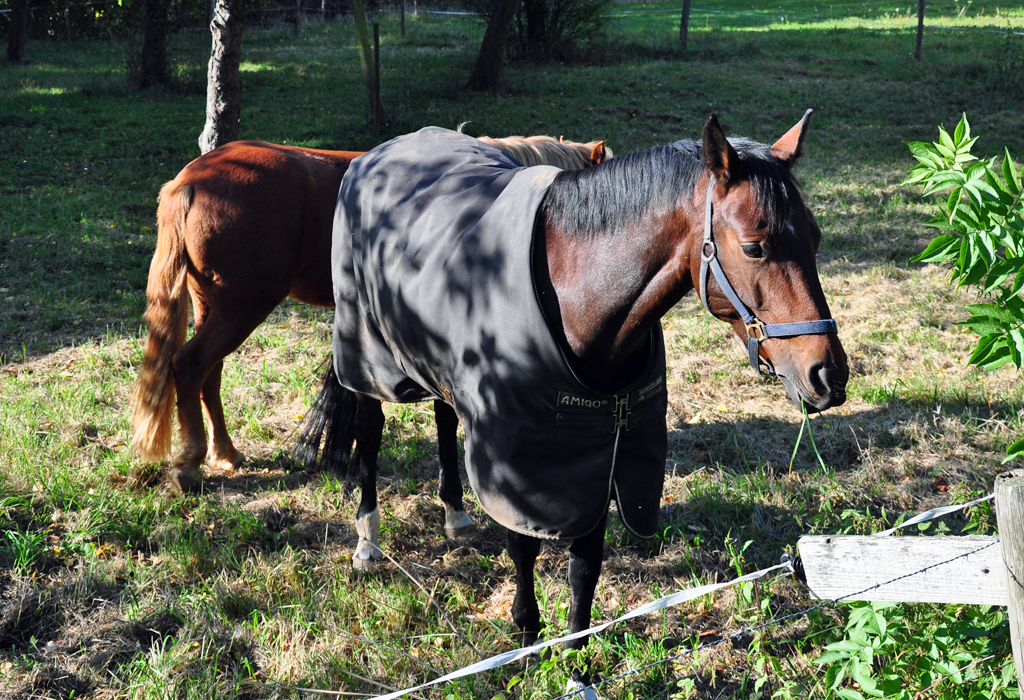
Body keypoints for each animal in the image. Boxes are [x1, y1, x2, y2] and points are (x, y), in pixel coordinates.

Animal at [128, 134, 606, 505]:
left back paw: (225, 453)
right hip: (240, 308)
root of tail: (191, 180)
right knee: (190, 366)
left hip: (215, 307)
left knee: (208, 374)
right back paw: (190, 463)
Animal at [303, 112, 847, 691]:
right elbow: (524, 546)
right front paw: (526, 639)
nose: (828, 373)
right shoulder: (519, 460)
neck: (575, 296)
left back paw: (454, 512)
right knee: (370, 430)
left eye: (814, 237)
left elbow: (585, 566)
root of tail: (375, 154)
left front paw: (576, 667)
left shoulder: (599, 456)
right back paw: (368, 539)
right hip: (368, 358)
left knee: (444, 416)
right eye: (753, 247)